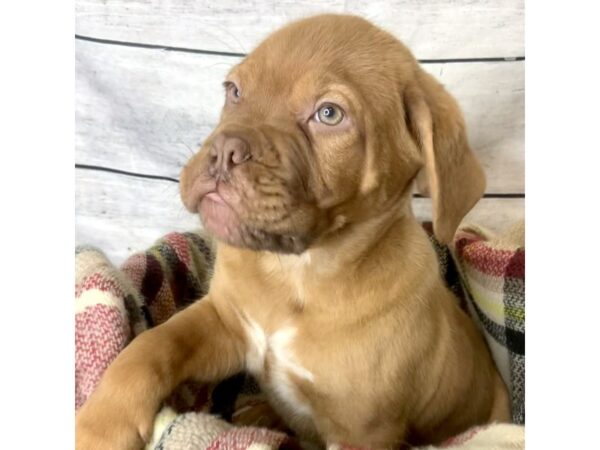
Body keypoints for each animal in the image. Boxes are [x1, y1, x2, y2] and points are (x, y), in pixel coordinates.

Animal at [74, 14, 506, 450]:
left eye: (329, 114)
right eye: (234, 91)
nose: (224, 150)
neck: (295, 274)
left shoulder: (362, 431)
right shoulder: (222, 322)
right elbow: (152, 346)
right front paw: (100, 425)